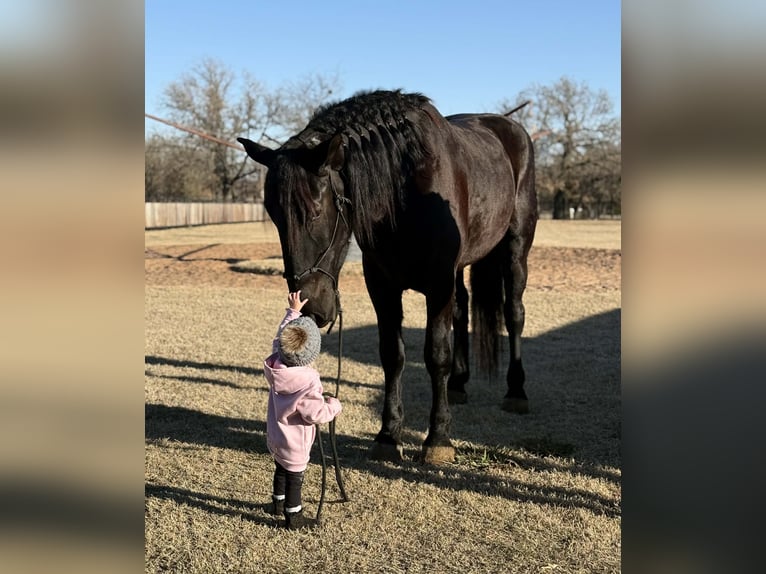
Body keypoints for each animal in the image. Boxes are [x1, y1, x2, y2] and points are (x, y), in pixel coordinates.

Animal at [238, 89, 537, 464]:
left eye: (315, 212)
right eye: (275, 216)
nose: (311, 307)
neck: (406, 192)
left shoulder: (438, 283)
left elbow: (436, 353)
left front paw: (438, 438)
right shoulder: (382, 285)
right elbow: (392, 355)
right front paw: (388, 435)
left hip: (515, 248)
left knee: (514, 313)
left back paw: (516, 391)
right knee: (462, 310)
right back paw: (457, 384)